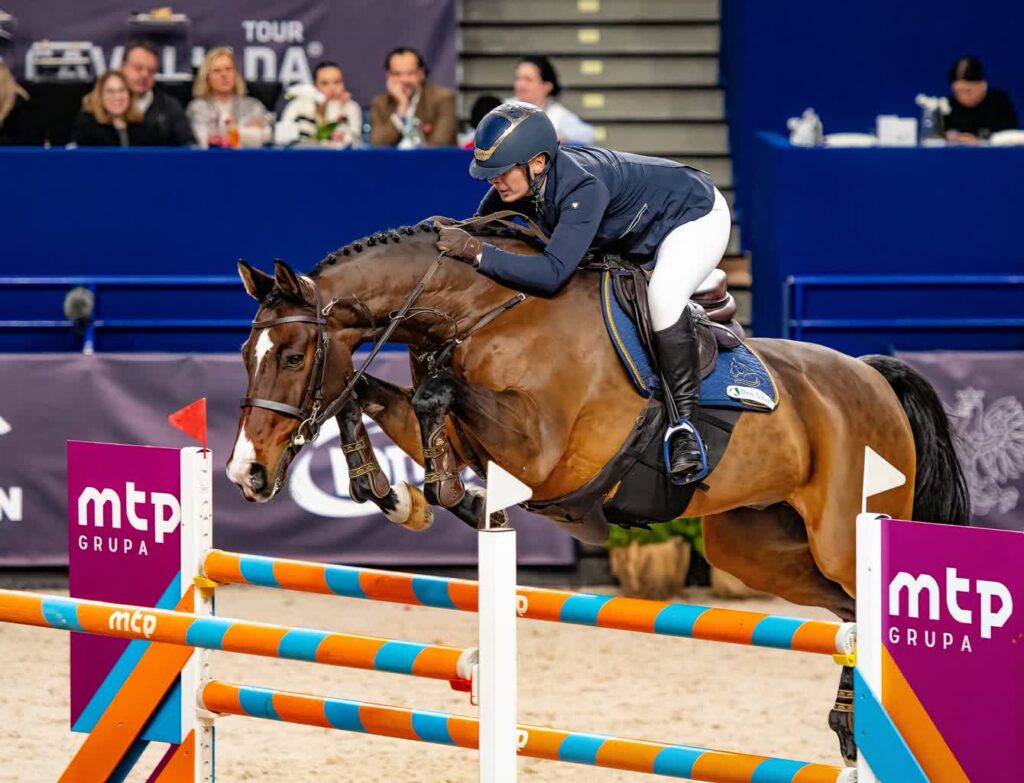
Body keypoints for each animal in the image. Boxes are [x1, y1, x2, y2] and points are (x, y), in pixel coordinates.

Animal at [224, 221, 966, 765]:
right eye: (244, 356)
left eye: (292, 356)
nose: (245, 473)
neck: (481, 311)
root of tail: (873, 375)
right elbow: (371, 396)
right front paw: (394, 493)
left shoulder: (541, 452)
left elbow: (437, 394)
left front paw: (447, 493)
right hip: (757, 547)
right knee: (847, 614)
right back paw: (847, 720)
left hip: (841, 534)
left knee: (869, 605)